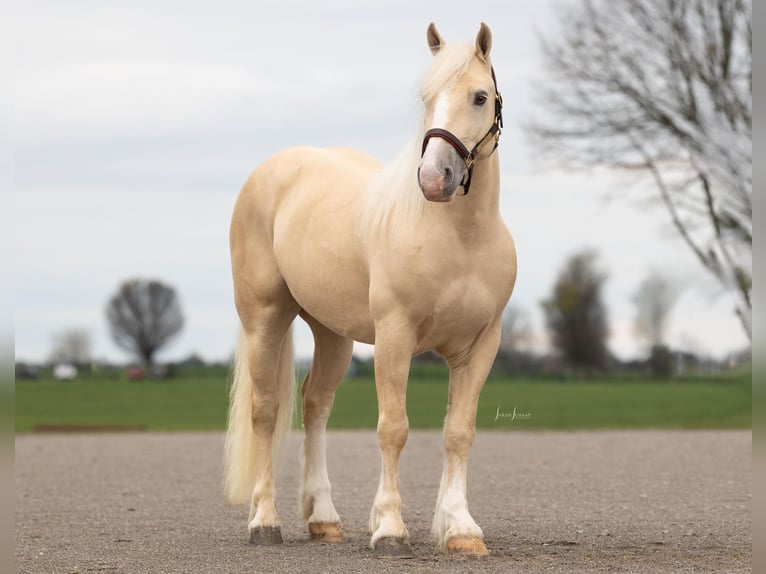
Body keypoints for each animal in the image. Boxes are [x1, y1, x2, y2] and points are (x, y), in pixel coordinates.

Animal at [224, 22, 517, 557]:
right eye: (427, 98)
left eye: (480, 97)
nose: (434, 179)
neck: (461, 238)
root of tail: (272, 170)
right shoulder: (395, 337)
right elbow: (393, 429)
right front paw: (390, 529)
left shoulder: (481, 345)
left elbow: (458, 432)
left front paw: (460, 529)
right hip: (265, 318)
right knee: (266, 410)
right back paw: (264, 522)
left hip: (333, 334)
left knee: (315, 404)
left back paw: (323, 518)